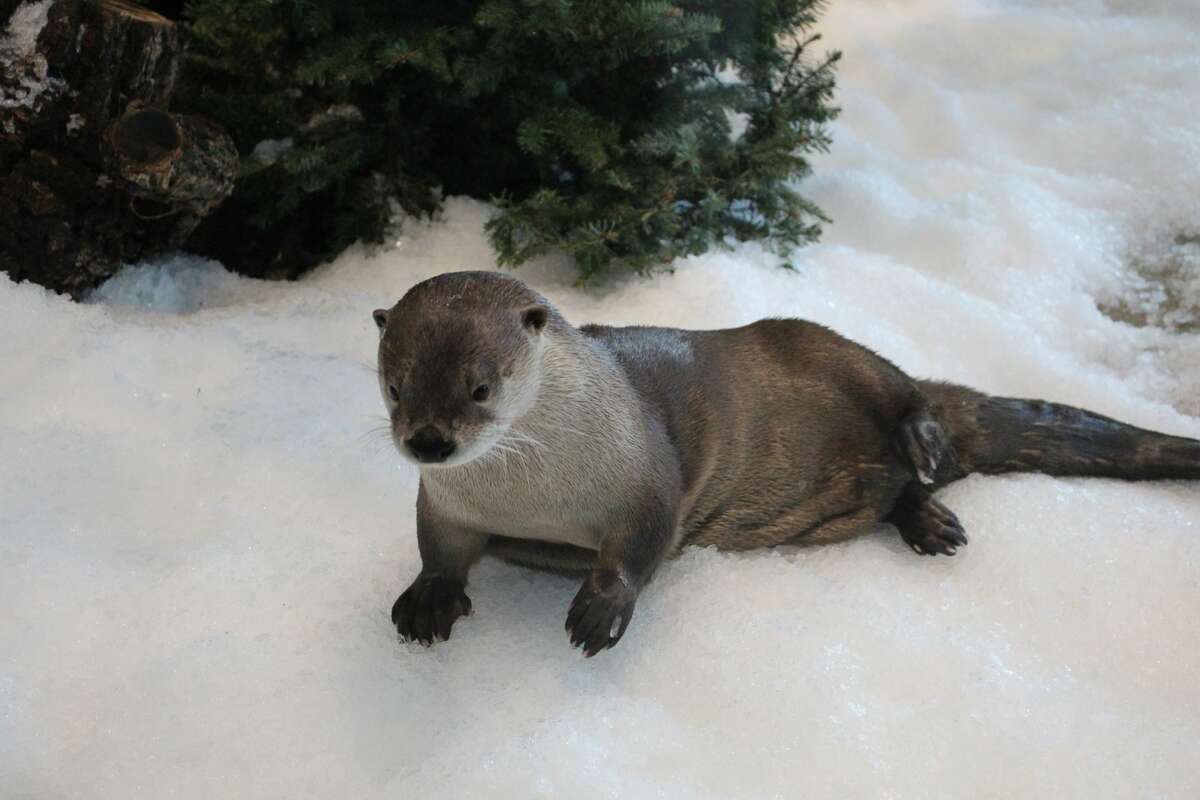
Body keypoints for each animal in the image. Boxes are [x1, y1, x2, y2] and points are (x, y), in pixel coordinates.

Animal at [373, 271, 1200, 657]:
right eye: (395, 385)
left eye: (481, 385)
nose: (429, 442)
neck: (533, 497)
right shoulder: (444, 503)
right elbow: (439, 550)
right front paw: (429, 597)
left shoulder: (645, 477)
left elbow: (639, 547)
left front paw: (599, 610)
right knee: (897, 492)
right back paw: (927, 518)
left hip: (827, 345)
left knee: (903, 389)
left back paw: (924, 444)